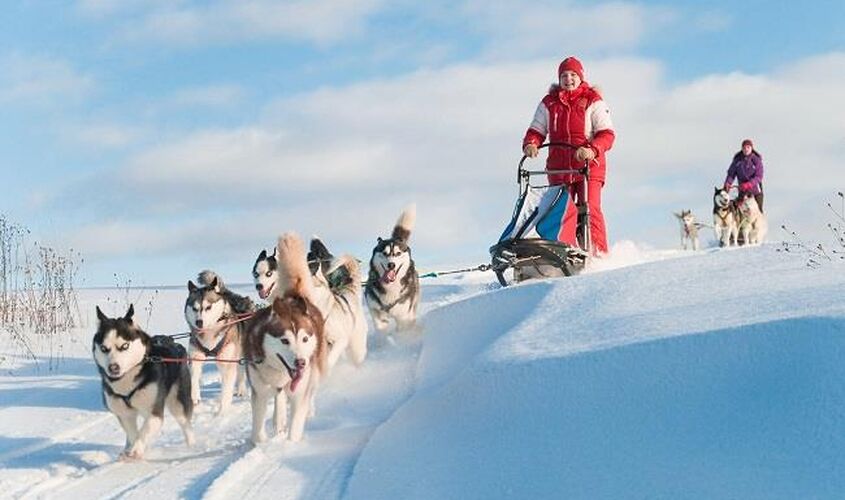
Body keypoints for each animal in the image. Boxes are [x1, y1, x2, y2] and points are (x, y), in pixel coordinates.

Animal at [93, 304, 194, 460]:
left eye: (125, 346)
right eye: (104, 348)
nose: (113, 367)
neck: (127, 383)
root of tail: (175, 344)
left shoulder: (154, 413)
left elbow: (144, 431)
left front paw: (136, 450)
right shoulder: (124, 414)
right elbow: (132, 433)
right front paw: (132, 449)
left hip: (178, 403)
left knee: (186, 424)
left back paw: (191, 445)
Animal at [182, 272, 254, 412]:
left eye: (208, 307)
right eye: (194, 308)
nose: (199, 322)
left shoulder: (227, 362)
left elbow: (226, 391)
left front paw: (222, 412)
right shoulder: (195, 357)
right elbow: (193, 377)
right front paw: (194, 397)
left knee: (241, 371)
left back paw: (241, 390)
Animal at [242, 232, 328, 444]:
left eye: (304, 339)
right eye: (284, 340)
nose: (300, 363)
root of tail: (293, 296)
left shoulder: (299, 390)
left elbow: (295, 425)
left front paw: (289, 445)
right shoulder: (259, 392)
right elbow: (257, 431)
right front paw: (263, 441)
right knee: (279, 398)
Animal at [364, 203, 420, 332]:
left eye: (398, 253)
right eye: (384, 253)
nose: (391, 265)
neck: (390, 288)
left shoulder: (403, 316)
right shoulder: (376, 313)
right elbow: (381, 329)